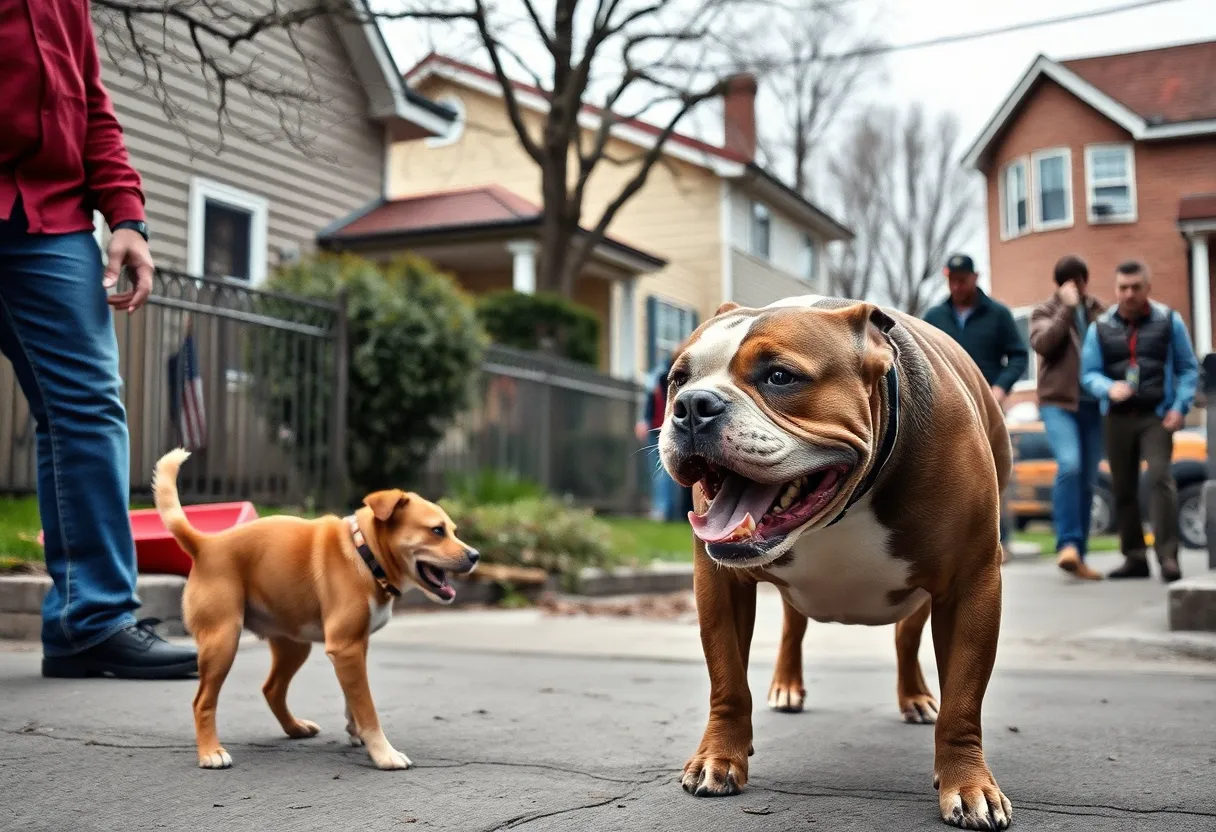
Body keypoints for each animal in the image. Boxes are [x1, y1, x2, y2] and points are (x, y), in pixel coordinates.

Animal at [149, 452, 476, 768]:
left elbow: (353, 701)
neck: (364, 553)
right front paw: (384, 753)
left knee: (272, 689)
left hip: (293, 646)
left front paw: (356, 732)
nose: (475, 555)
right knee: (203, 701)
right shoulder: (346, 648)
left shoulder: (355, 646)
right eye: (437, 530)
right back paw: (210, 752)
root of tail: (206, 544)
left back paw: (295, 728)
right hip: (223, 641)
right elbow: (367, 707)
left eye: (454, 530)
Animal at [661, 295, 1011, 827]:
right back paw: (787, 687)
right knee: (793, 627)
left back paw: (915, 698)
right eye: (677, 380)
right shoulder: (720, 585)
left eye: (779, 377)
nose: (692, 406)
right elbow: (728, 681)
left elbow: (962, 702)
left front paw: (968, 785)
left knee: (906, 639)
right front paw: (718, 758)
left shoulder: (973, 585)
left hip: (922, 597)